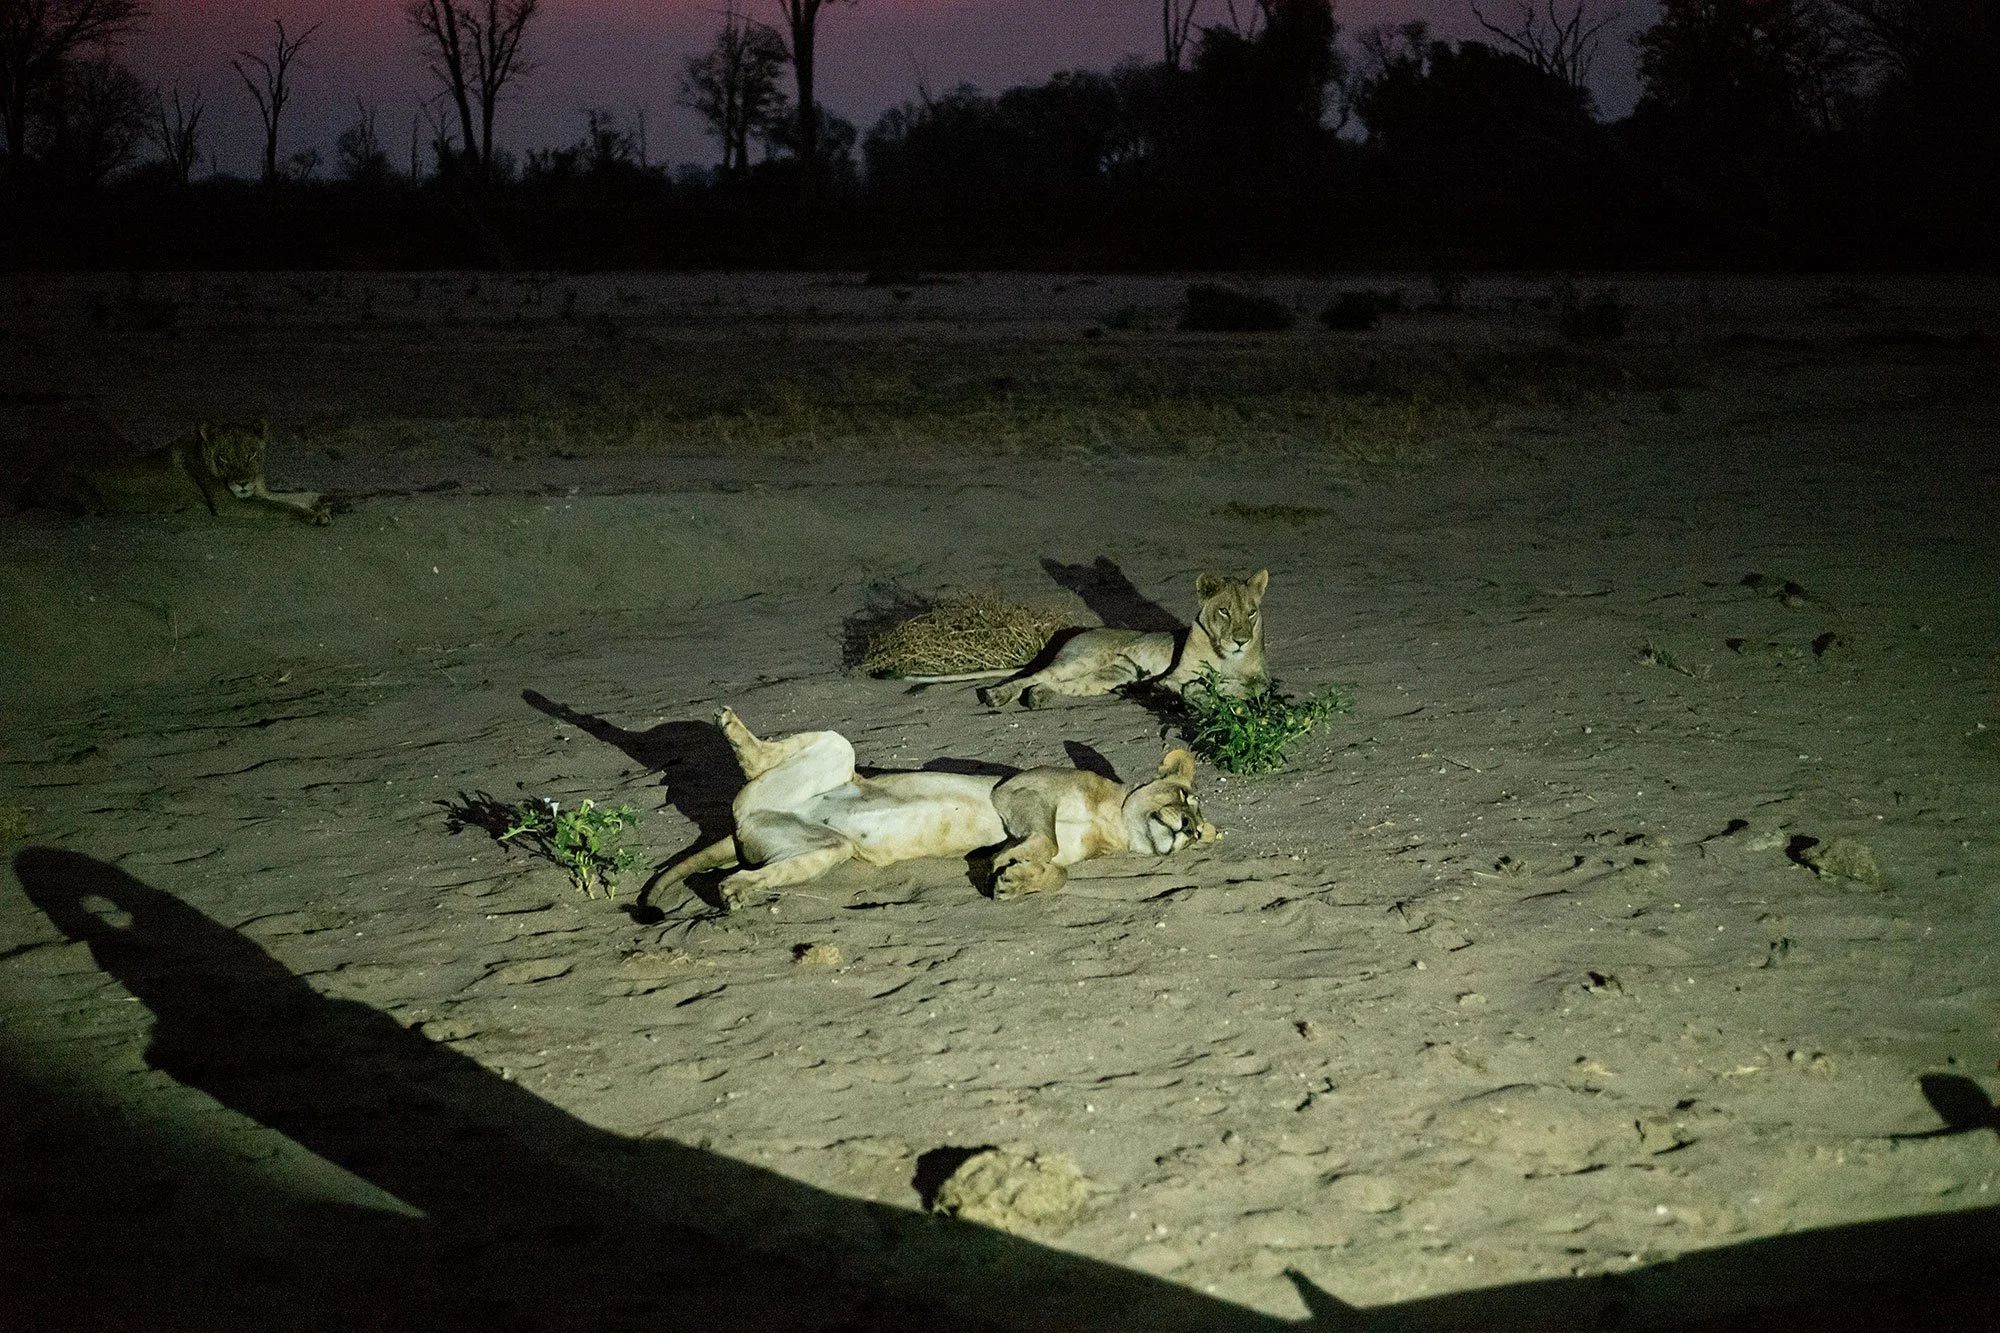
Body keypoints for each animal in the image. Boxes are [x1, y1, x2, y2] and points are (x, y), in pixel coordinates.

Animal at [26, 418, 331, 524]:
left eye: (251, 455)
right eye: (223, 458)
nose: (242, 483)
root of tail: (36, 473)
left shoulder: (258, 491)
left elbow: (292, 495)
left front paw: (326, 501)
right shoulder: (227, 503)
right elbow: (280, 506)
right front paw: (314, 515)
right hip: (86, 497)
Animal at [650, 707, 1216, 909]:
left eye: (1203, 830)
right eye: (1185, 799)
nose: (1190, 830)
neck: (1111, 824)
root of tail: (741, 824)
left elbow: (1056, 871)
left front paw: (1014, 881)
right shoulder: (1019, 788)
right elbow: (1046, 837)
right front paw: (1013, 870)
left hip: (827, 849)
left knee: (741, 875)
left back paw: (737, 895)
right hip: (835, 752)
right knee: (764, 757)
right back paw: (731, 727)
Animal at [978, 569, 1270, 709]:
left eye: (1251, 612)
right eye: (1224, 611)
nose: (1241, 640)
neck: (1225, 657)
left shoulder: (1261, 678)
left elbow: (1253, 687)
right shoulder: (1172, 677)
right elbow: (1196, 685)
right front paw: (1202, 693)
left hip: (1106, 678)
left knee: (1054, 683)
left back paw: (1038, 697)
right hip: (1083, 660)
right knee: (1033, 676)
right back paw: (997, 695)